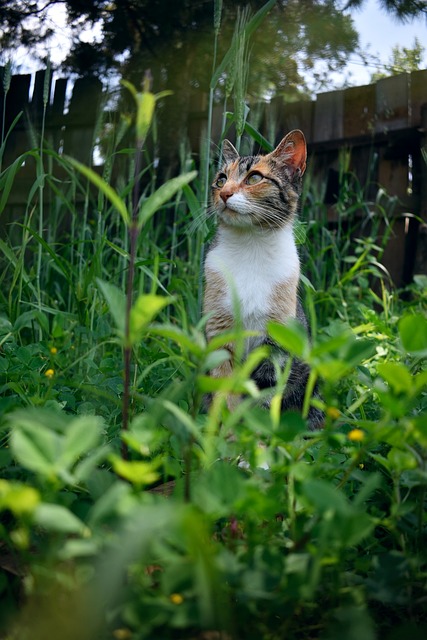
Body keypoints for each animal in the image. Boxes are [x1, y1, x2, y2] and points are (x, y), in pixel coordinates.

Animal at [204, 129, 324, 430]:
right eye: (221, 179)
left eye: (254, 178)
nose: (224, 193)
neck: (251, 246)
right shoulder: (219, 330)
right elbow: (224, 392)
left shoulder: (276, 343)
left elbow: (262, 399)